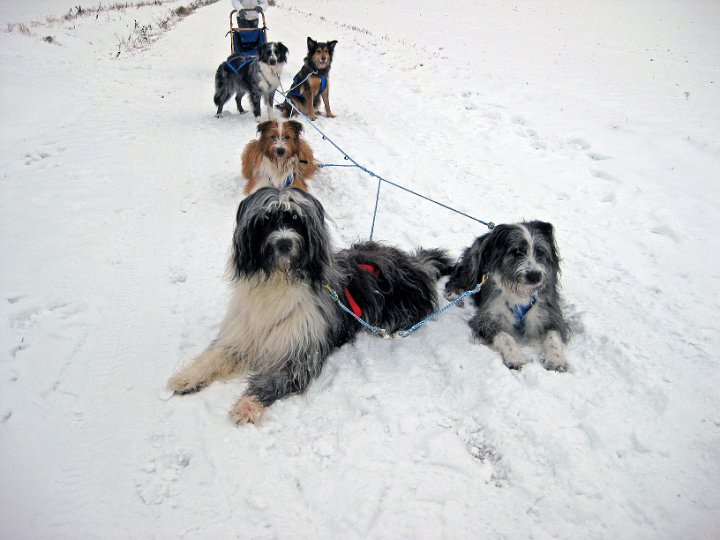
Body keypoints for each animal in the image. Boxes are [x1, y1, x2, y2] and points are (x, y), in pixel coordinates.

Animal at [167, 187, 452, 424]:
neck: (279, 280)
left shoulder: (300, 350)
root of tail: (418, 264)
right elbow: (215, 355)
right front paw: (187, 377)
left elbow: (273, 381)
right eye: (267, 221)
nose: (284, 243)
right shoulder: (244, 333)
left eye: (297, 220)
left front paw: (247, 405)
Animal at [445, 221, 570, 371]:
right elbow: (505, 336)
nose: (535, 276)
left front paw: (556, 359)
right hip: (473, 263)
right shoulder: (486, 318)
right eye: (517, 251)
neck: (521, 291)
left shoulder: (548, 312)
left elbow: (553, 335)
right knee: (457, 275)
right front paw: (515, 357)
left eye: (540, 252)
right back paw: (454, 294)